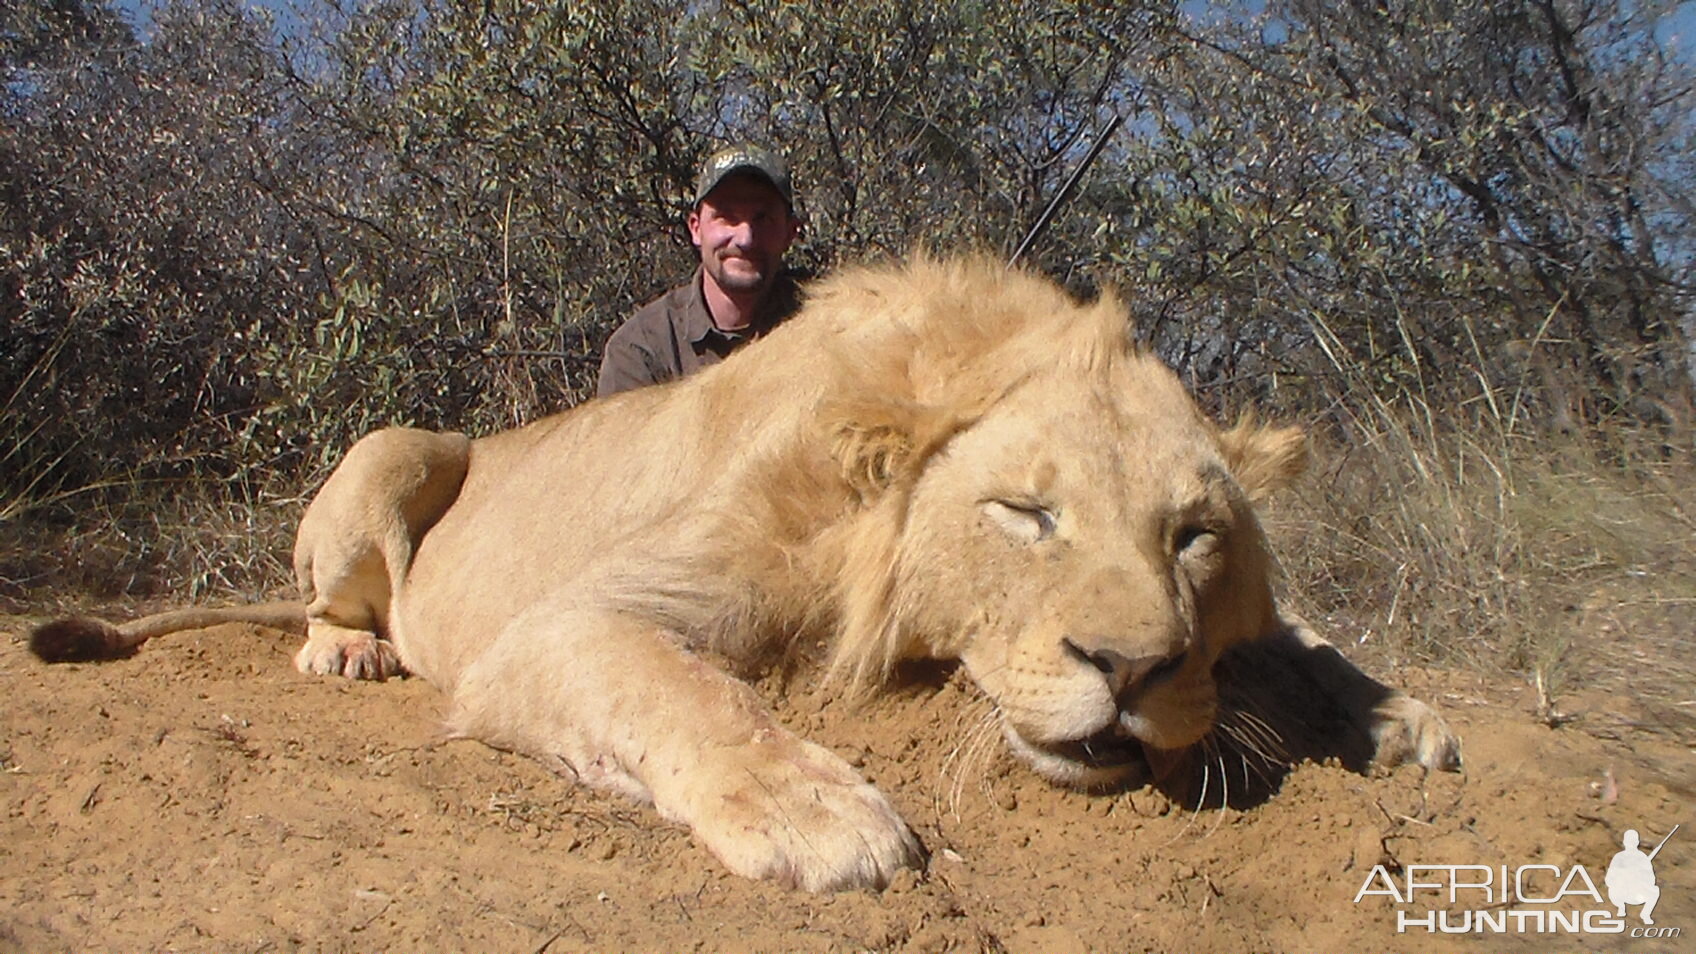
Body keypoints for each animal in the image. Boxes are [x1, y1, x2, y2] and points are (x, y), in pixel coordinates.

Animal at [29, 254, 1458, 889]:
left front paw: (1397, 713)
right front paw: (821, 816)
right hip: (400, 446)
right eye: (1024, 514)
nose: (1134, 669)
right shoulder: (565, 622)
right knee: (329, 596)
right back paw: (348, 647)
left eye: (1192, 537)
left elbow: (1300, 640)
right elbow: (689, 691)